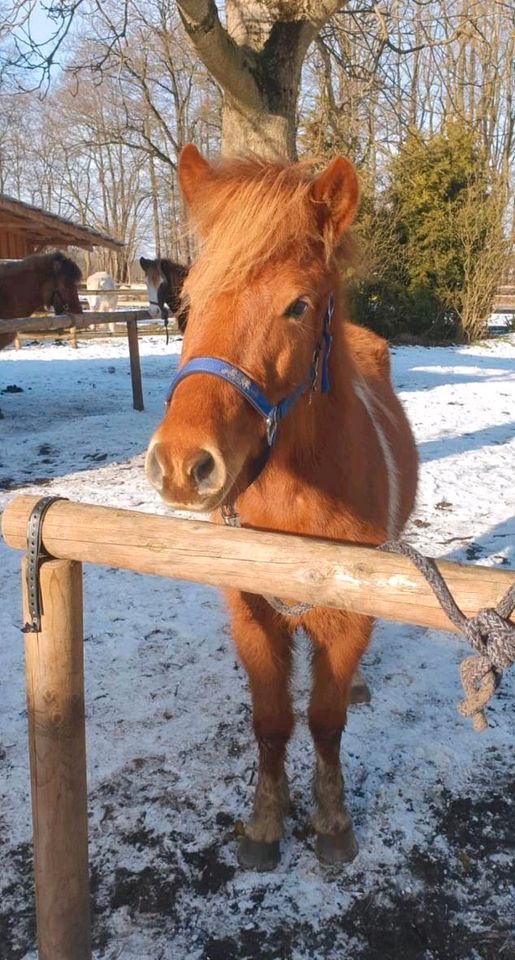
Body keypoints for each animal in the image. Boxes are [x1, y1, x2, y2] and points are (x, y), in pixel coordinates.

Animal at [145, 146, 420, 872]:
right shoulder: (251, 613)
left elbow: (324, 723)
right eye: (187, 303)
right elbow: (271, 723)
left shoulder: (347, 618)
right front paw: (266, 823)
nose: (182, 465)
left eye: (297, 305)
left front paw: (331, 821)